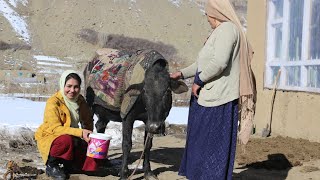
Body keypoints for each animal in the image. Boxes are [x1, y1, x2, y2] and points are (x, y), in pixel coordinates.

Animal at [84, 48, 186, 179]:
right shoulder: (127, 117)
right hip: (89, 105)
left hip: (105, 113)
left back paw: (104, 160)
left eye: (167, 91)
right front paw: (123, 173)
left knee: (100, 126)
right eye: (145, 91)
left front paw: (148, 172)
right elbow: (127, 144)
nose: (155, 127)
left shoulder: (148, 121)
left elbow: (147, 145)